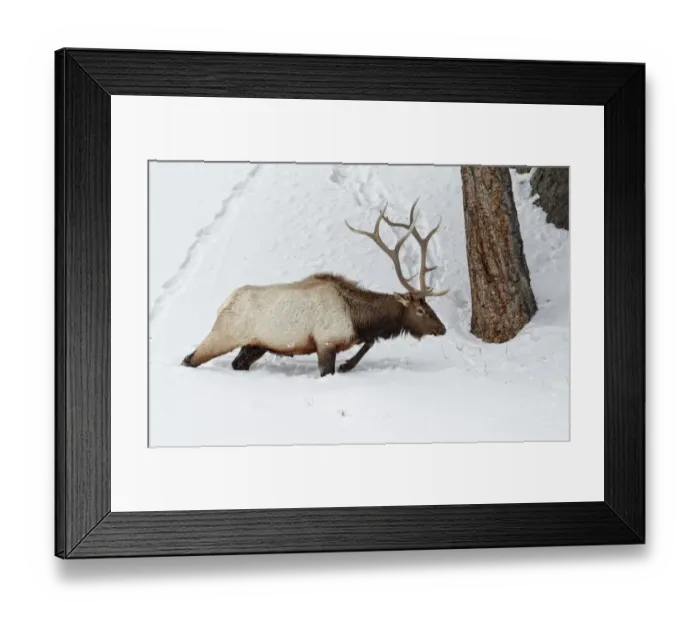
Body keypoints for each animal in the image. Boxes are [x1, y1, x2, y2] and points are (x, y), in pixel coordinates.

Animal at [181, 198, 449, 377]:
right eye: (421, 311)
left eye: (430, 307)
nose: (442, 328)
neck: (356, 318)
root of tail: (223, 304)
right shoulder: (326, 341)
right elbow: (333, 367)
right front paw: (345, 365)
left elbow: (370, 342)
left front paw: (347, 365)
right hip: (224, 334)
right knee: (190, 358)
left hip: (255, 345)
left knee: (237, 363)